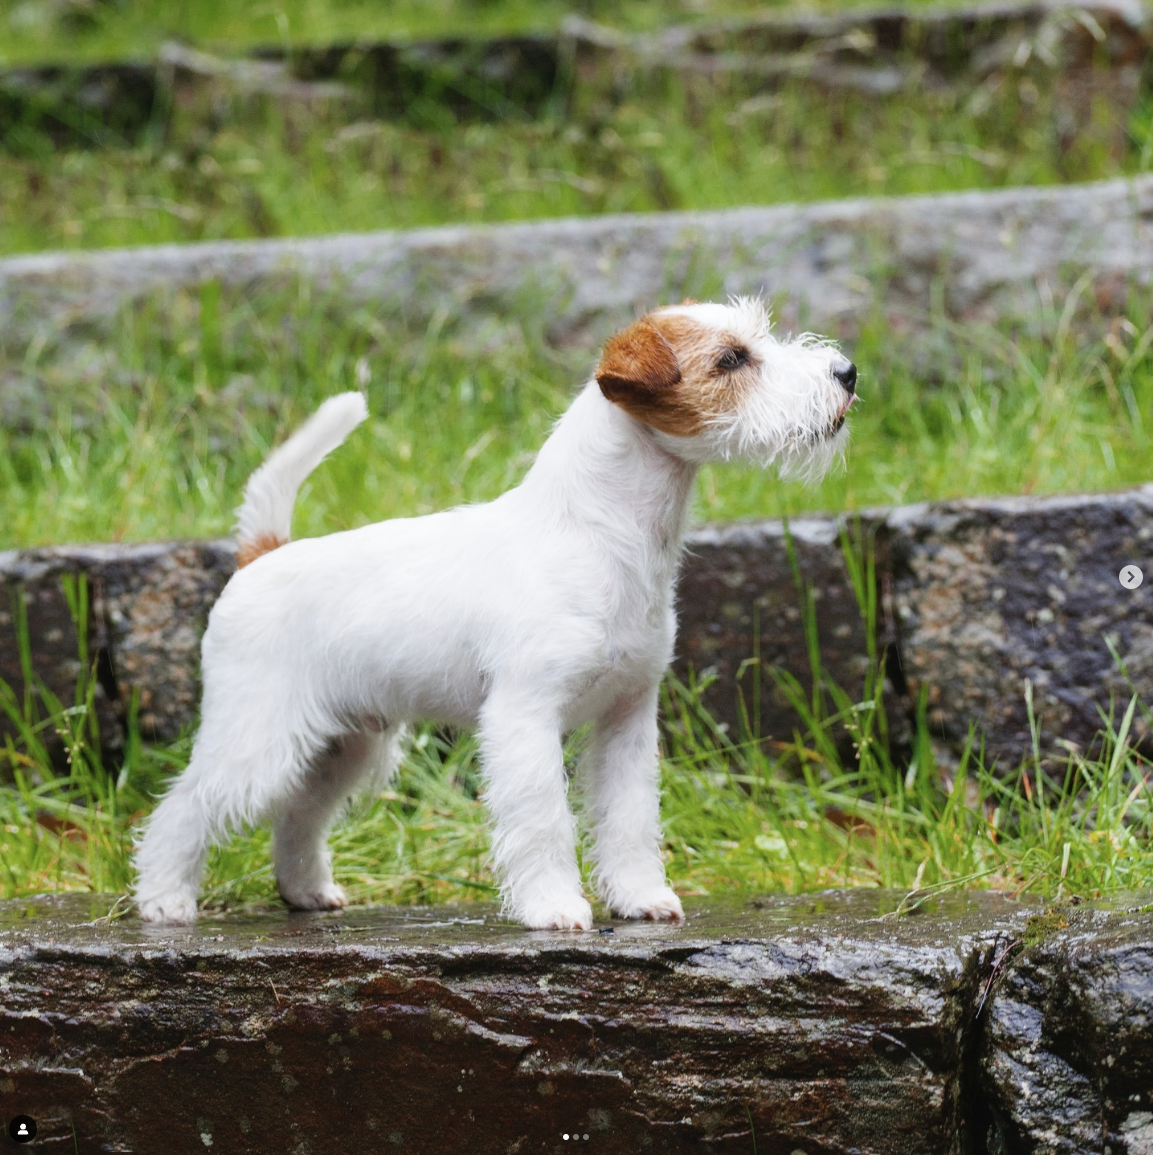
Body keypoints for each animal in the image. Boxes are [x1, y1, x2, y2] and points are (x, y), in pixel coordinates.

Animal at [135, 297, 859, 928]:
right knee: (184, 808)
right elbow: (544, 821)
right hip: (256, 738)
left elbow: (630, 819)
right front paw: (554, 908)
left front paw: (639, 897)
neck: (598, 535)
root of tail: (260, 555)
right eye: (731, 359)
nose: (847, 373)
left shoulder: (627, 718)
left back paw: (307, 891)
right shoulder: (524, 717)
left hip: (345, 744)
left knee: (299, 817)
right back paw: (164, 900)